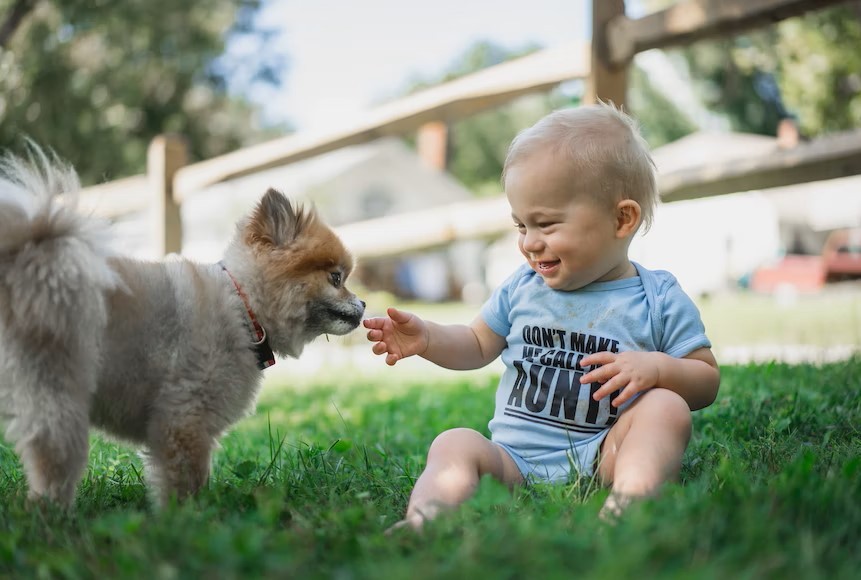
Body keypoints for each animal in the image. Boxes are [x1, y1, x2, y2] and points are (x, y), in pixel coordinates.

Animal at [0, 146, 364, 508]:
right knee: (55, 455)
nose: (363, 304)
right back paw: (53, 509)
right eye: (336, 278)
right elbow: (187, 477)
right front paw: (188, 515)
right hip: (58, 388)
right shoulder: (184, 417)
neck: (243, 307)